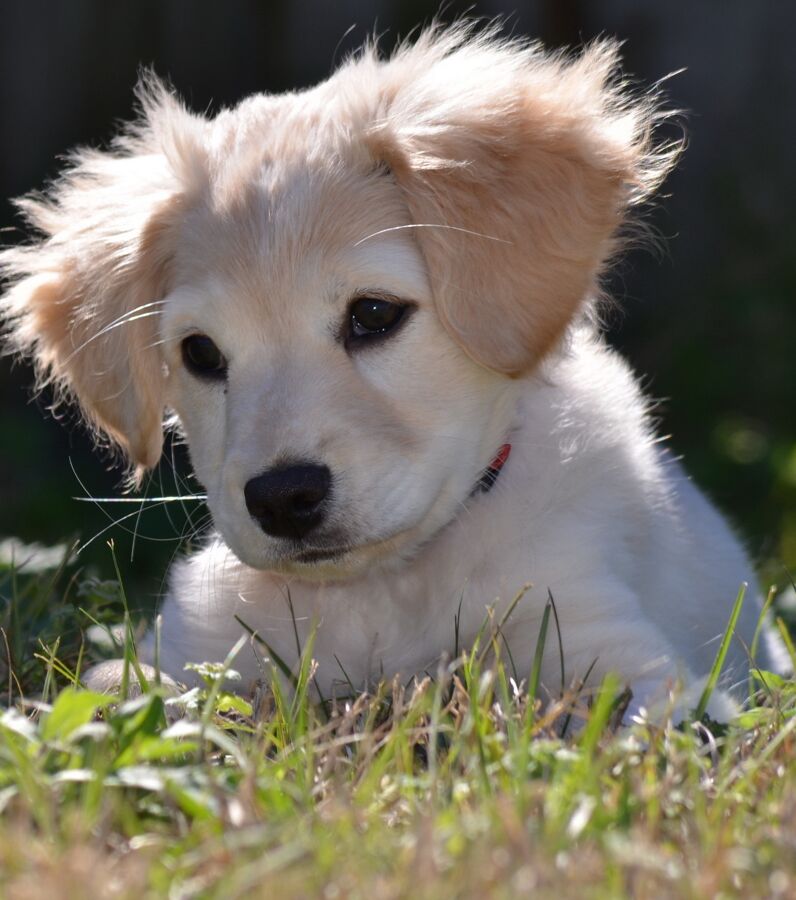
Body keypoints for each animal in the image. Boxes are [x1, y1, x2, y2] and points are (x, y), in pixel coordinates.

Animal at [0, 26, 784, 716]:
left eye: (373, 313)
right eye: (200, 353)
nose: (282, 499)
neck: (385, 590)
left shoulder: (617, 655)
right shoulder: (191, 651)